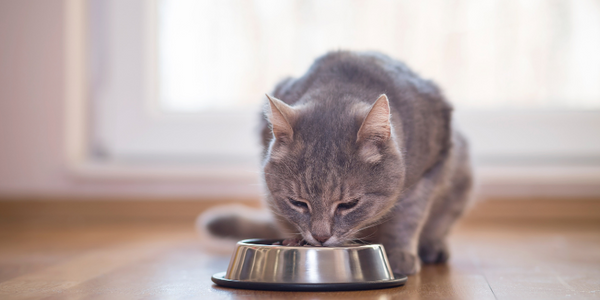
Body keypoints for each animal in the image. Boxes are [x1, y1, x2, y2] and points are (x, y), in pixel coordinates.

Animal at [200, 51, 474, 274]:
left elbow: (409, 216)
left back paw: (432, 247)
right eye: (298, 203)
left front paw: (399, 254)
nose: (320, 237)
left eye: (349, 204)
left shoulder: (431, 168)